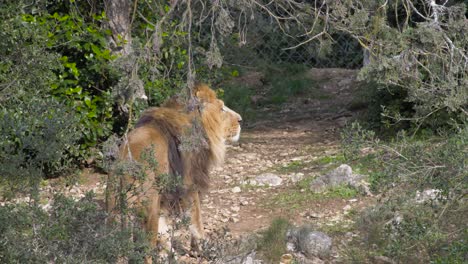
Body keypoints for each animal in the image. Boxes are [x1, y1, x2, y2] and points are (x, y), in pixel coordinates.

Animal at [106, 83, 243, 260]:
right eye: (221, 108)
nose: (241, 120)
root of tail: (125, 167)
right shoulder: (189, 186)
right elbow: (196, 222)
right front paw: (203, 249)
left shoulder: (165, 195)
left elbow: (164, 229)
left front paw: (167, 253)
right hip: (148, 210)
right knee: (146, 252)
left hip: (115, 213)